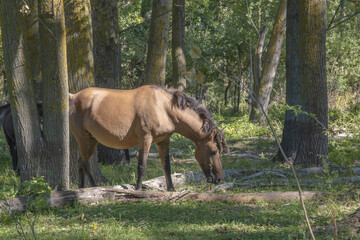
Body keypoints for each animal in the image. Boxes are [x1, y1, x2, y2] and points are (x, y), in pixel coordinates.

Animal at [69, 85, 228, 190]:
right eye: (213, 151)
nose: (219, 178)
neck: (164, 108)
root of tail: (74, 97)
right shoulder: (145, 139)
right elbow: (142, 165)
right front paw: (138, 189)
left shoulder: (163, 141)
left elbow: (167, 166)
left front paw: (171, 189)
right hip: (82, 138)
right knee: (85, 163)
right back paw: (93, 187)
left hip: (92, 140)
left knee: (80, 163)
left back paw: (81, 190)